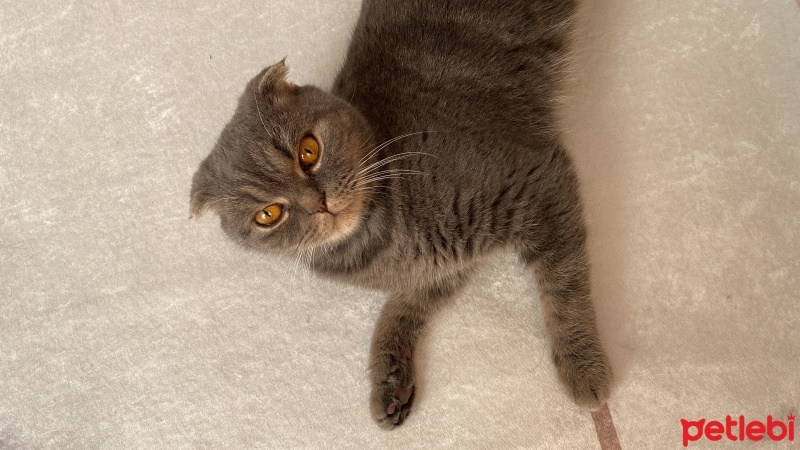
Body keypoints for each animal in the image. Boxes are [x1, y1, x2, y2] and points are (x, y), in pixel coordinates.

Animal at [189, 0, 612, 428]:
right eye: (269, 214)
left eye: (308, 150)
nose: (317, 203)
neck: (386, 237)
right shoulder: (444, 265)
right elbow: (400, 310)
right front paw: (389, 379)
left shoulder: (537, 179)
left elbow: (564, 290)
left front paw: (583, 368)